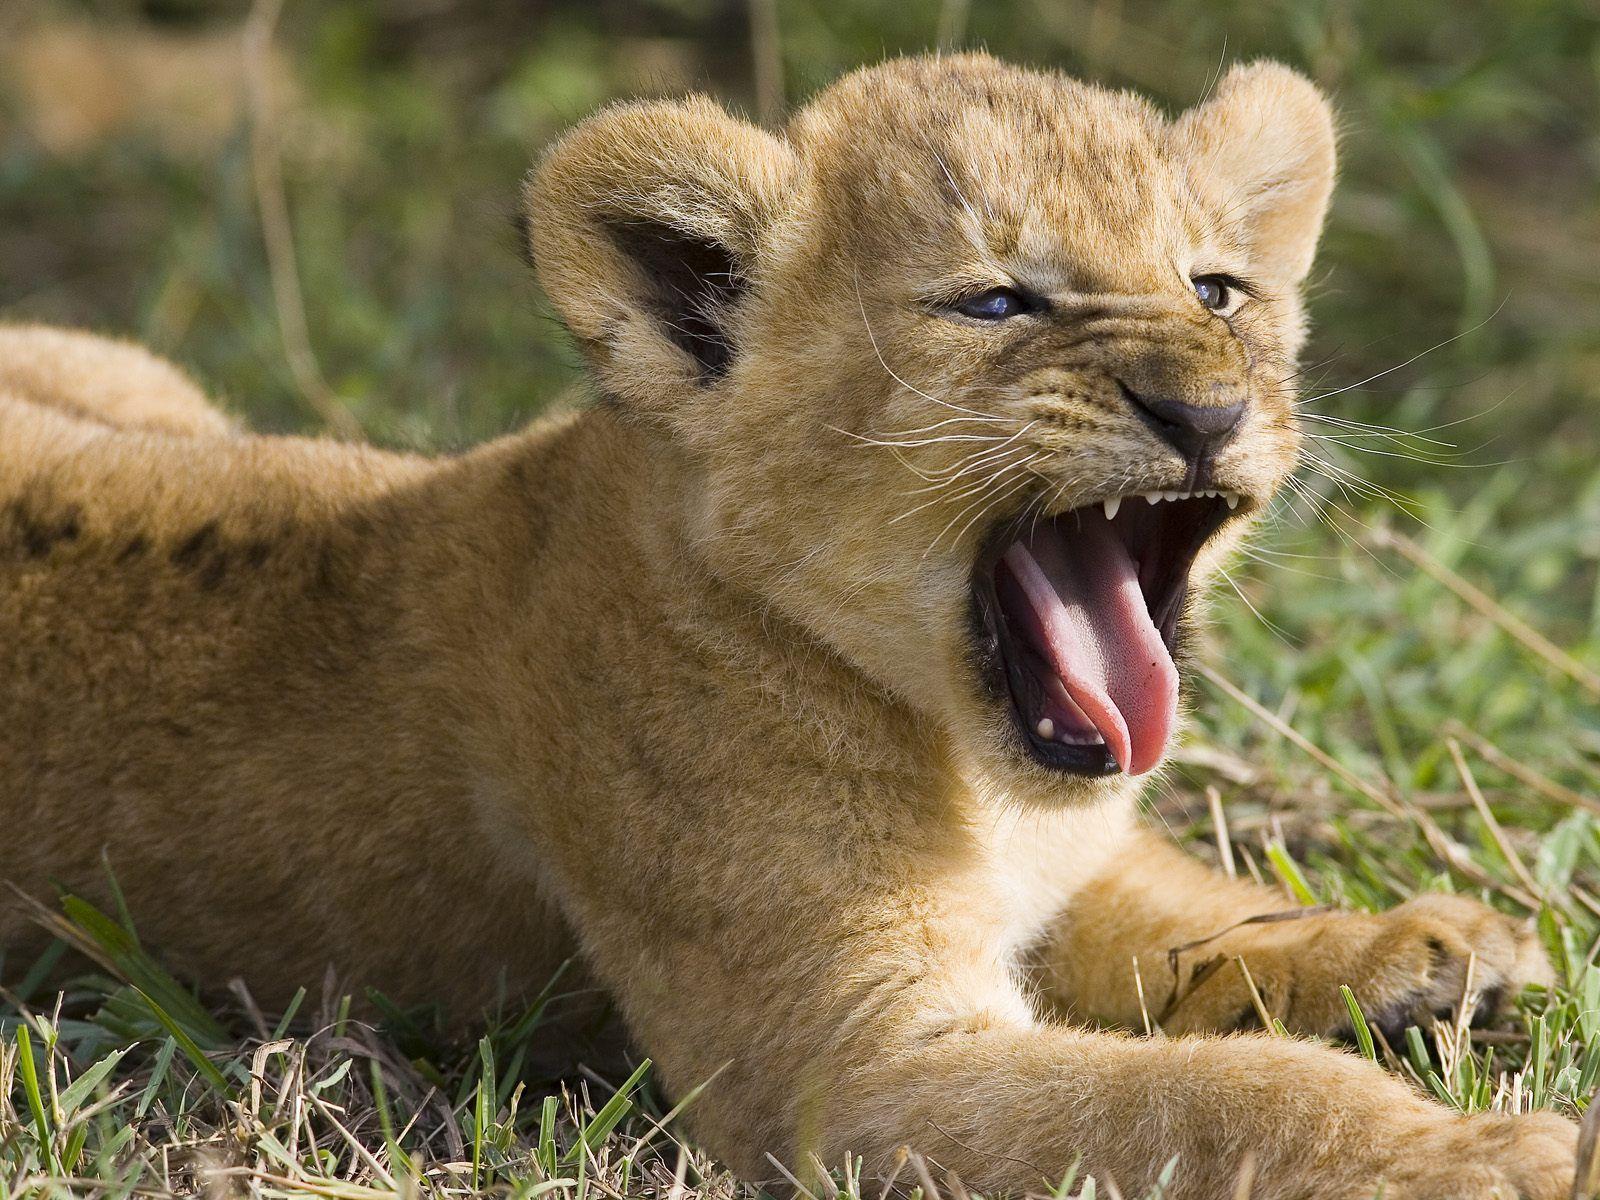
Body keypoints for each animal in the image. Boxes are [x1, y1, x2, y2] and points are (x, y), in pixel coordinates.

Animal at [0, 54, 1576, 1198]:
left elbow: (1191, 909)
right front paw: (1492, 1154)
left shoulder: (1061, 871)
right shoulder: (845, 1074)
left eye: (1215, 289)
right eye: (995, 302)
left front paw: (1418, 947)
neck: (966, 760)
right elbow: (1220, 1099)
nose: (1205, 410)